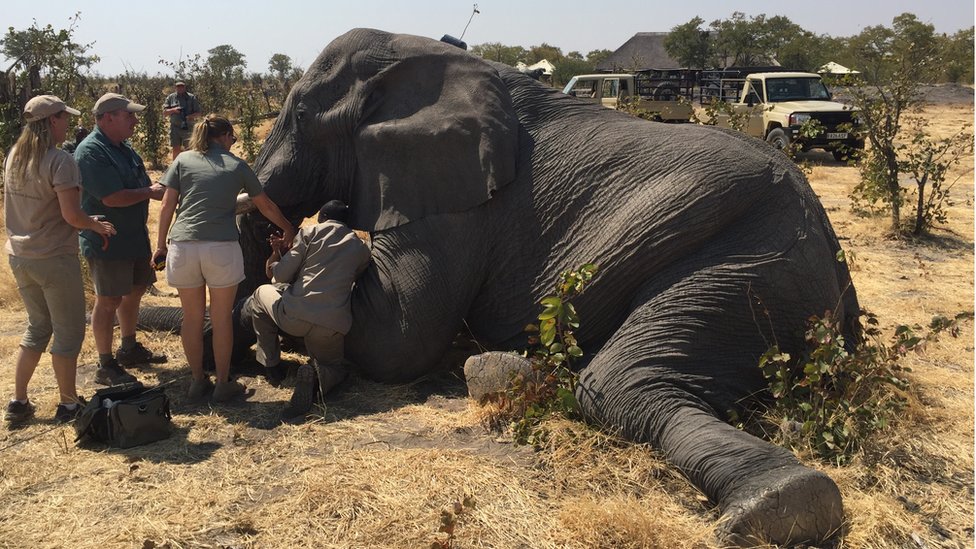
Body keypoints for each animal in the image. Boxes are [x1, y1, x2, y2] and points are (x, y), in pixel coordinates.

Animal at [231, 28, 860, 544]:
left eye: (299, 116)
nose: (267, 217)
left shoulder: (456, 198)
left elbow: (398, 342)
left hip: (747, 257)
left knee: (616, 385)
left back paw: (781, 506)